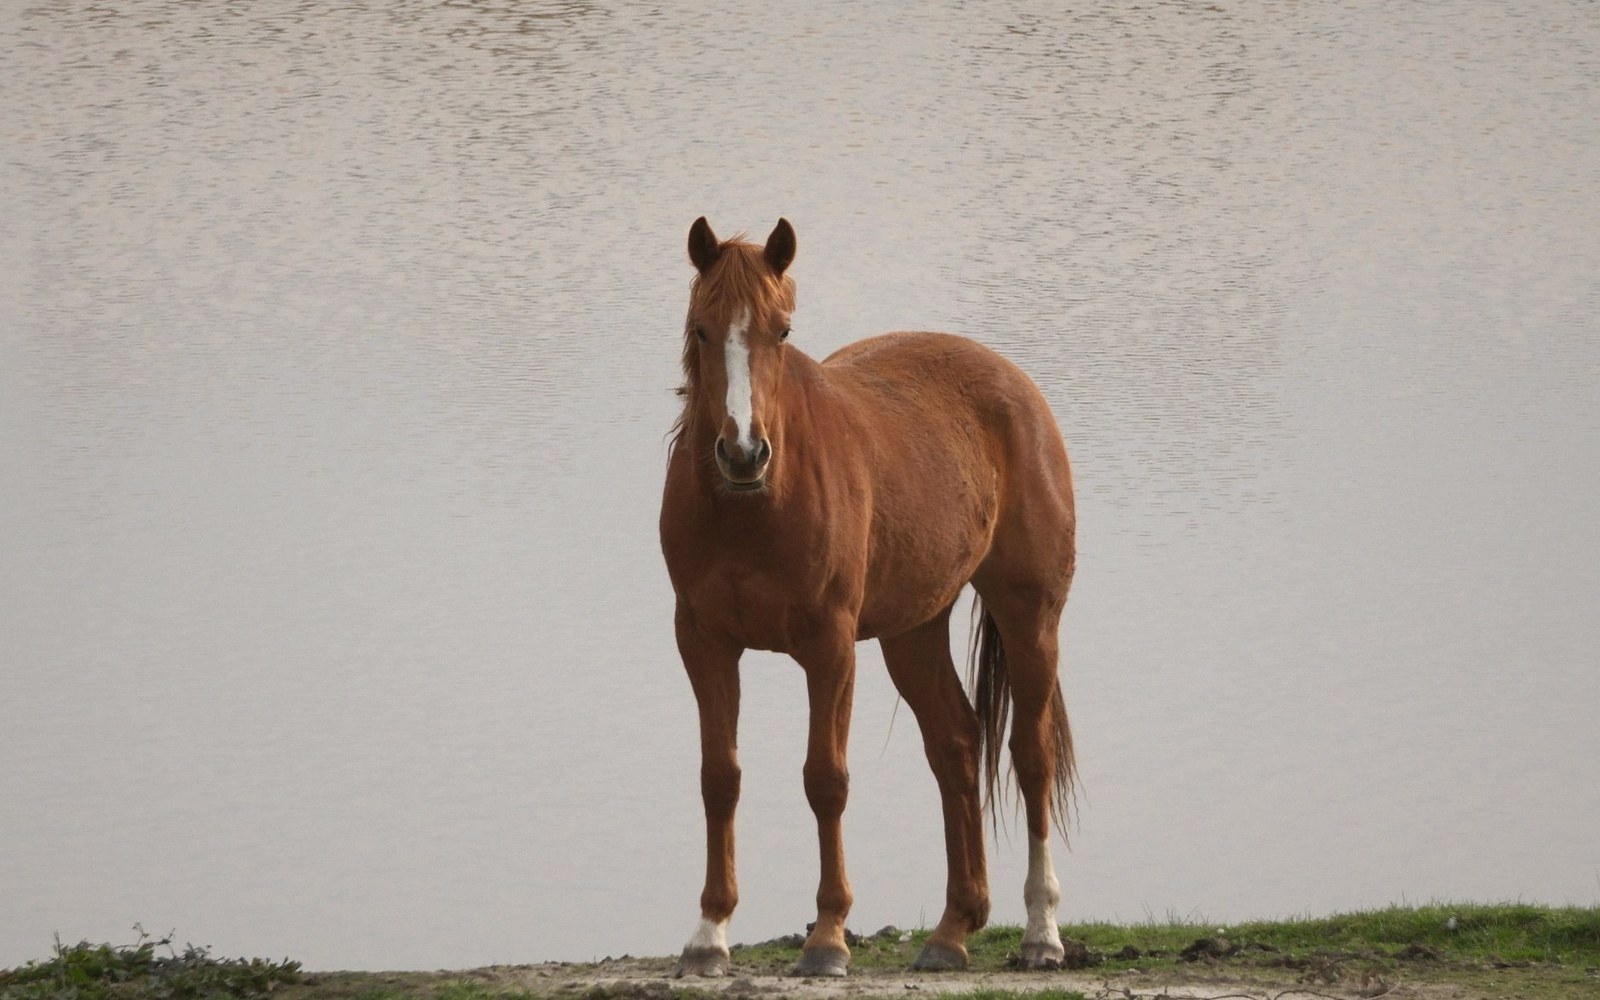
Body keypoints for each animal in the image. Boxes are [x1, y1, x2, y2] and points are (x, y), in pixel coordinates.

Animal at [659, 217, 1077, 978]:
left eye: (782, 331)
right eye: (703, 330)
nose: (743, 453)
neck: (754, 508)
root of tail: (1016, 386)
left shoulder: (829, 646)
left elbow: (825, 780)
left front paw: (827, 939)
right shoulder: (704, 642)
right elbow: (719, 778)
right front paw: (708, 935)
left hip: (1030, 616)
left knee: (1030, 757)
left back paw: (1041, 933)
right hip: (913, 633)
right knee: (956, 743)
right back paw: (951, 931)